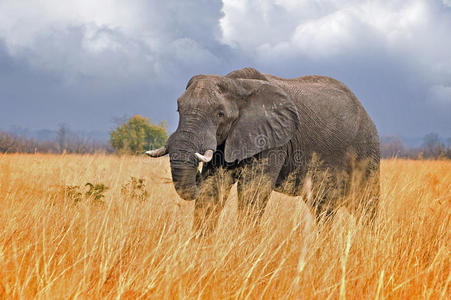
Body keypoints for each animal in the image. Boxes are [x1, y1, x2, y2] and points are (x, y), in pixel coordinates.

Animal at [148, 67, 382, 233]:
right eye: (179, 109)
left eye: (220, 114)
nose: (196, 173)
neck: (236, 84)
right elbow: (213, 189)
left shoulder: (274, 141)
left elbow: (253, 191)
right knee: (323, 207)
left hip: (366, 151)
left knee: (365, 205)